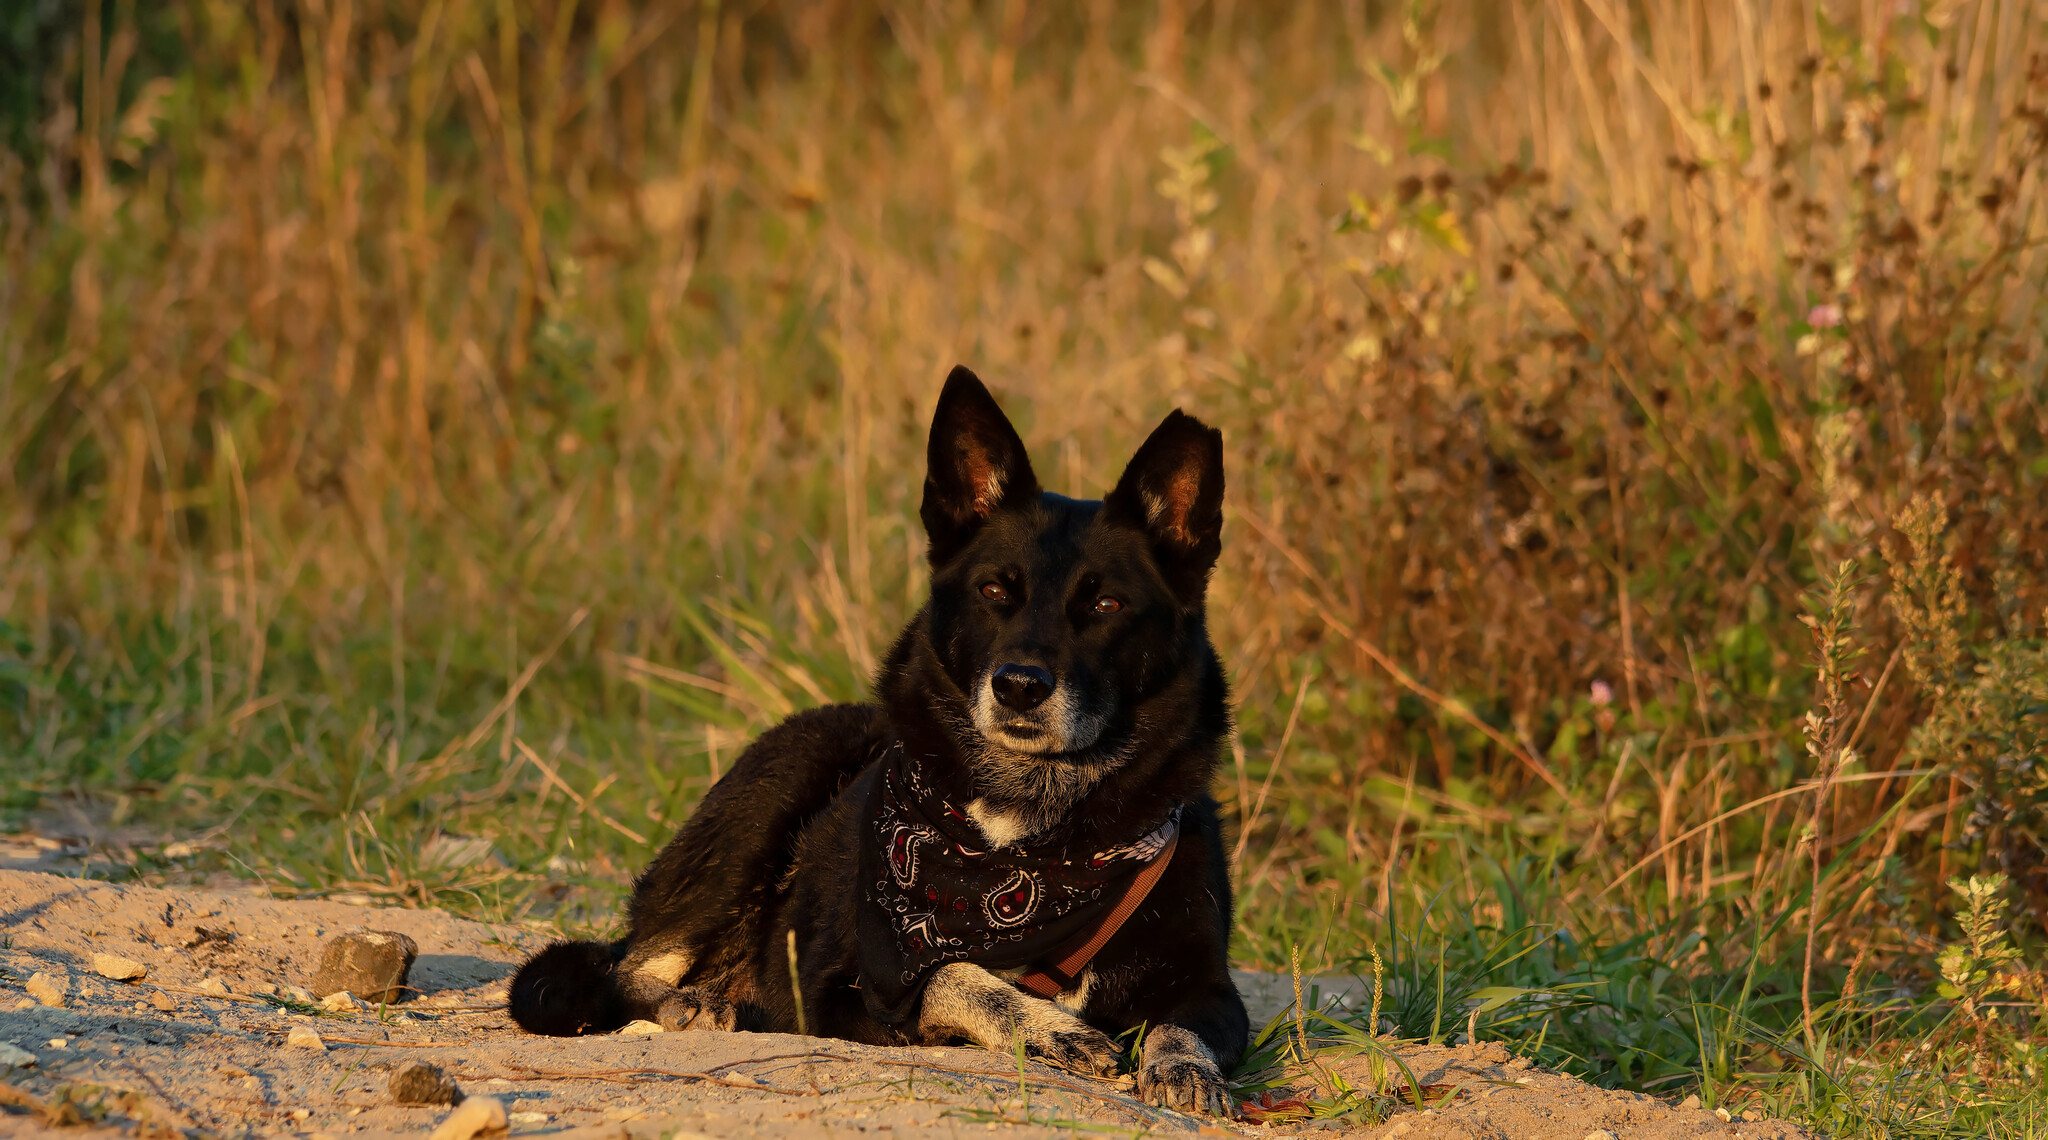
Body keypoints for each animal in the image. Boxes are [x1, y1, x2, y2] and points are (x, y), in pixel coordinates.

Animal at [512, 366, 1245, 1113]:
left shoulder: (1213, 991)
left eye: (1105, 605)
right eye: (994, 591)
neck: (1026, 831)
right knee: (628, 969)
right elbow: (951, 974)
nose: (1018, 685)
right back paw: (689, 1003)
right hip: (771, 797)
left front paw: (1185, 1070)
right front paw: (1050, 1028)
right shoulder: (845, 986)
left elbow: (1182, 1026)